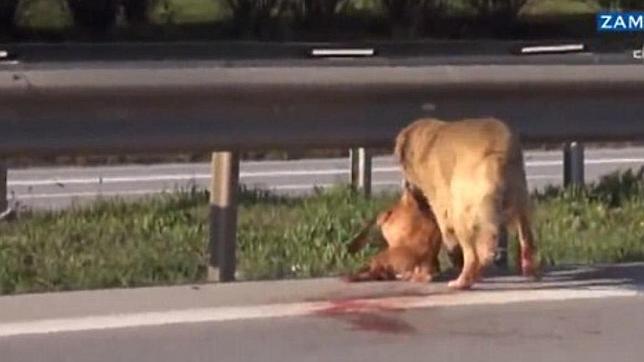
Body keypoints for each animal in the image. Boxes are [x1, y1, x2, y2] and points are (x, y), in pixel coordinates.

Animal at [392, 117, 540, 290]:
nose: (405, 185)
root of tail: (497, 157)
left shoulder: (441, 206)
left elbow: (449, 236)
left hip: (462, 211)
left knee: (472, 255)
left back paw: (463, 280)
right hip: (520, 199)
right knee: (526, 237)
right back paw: (529, 270)